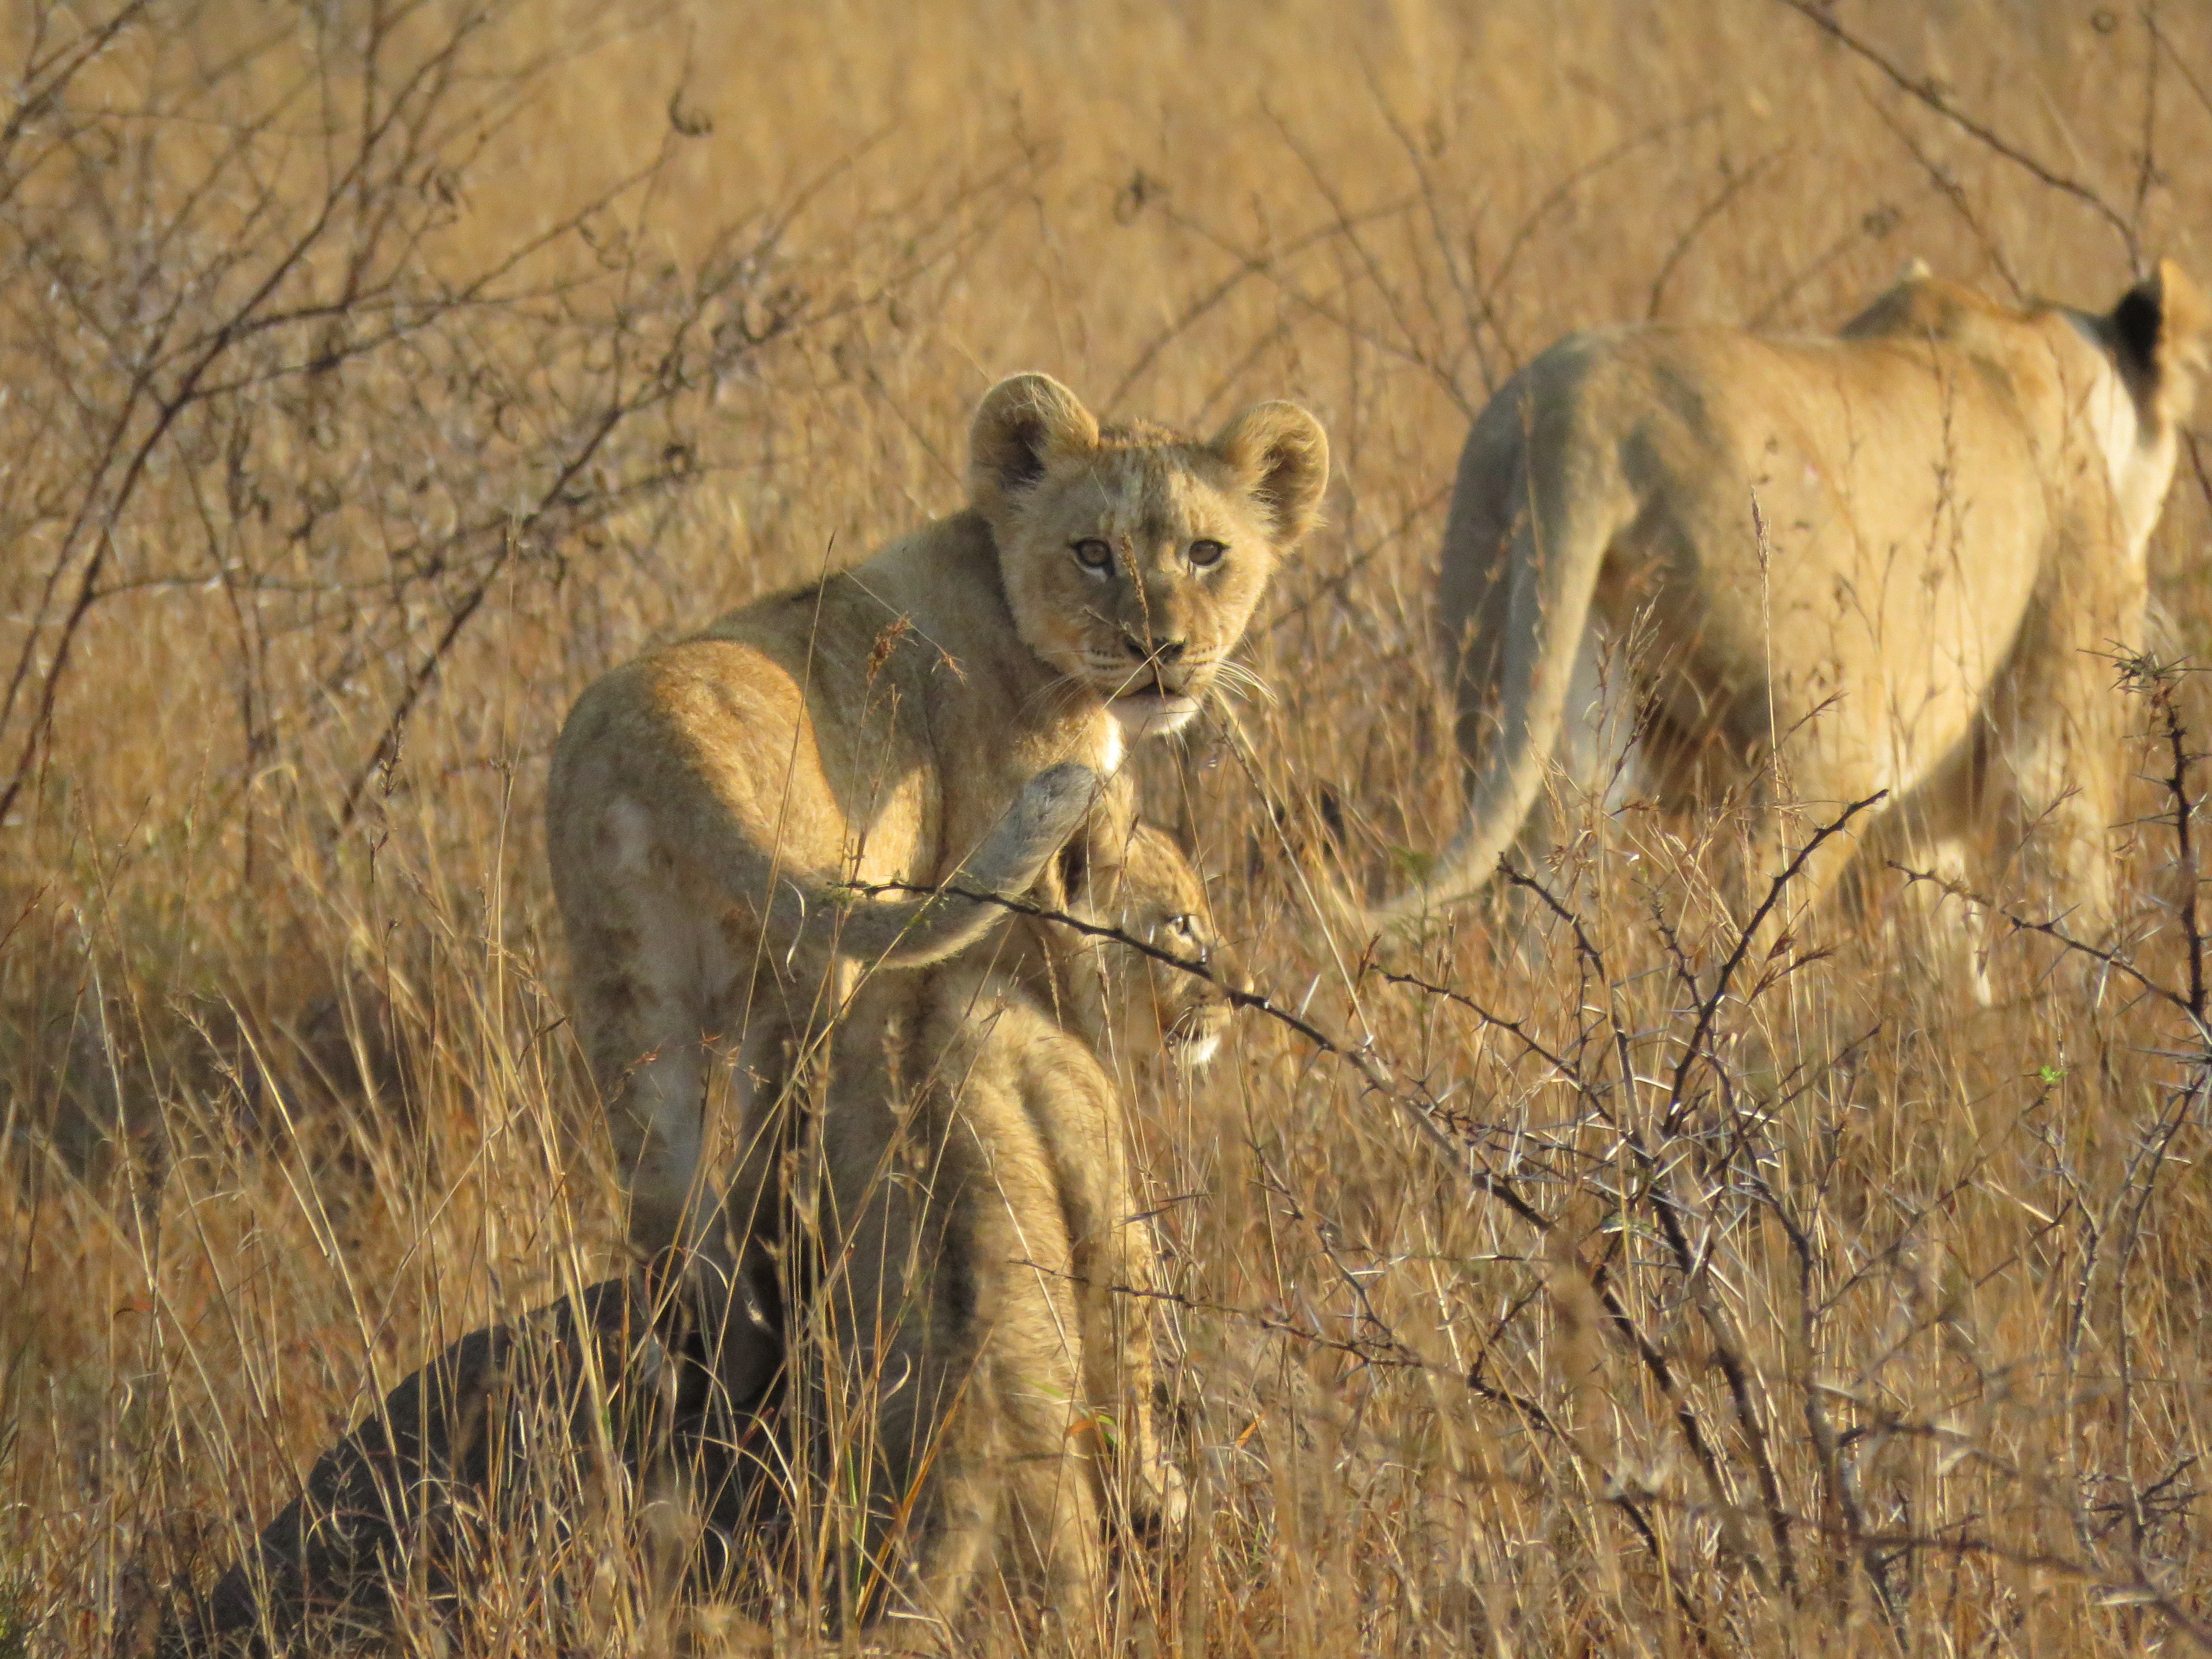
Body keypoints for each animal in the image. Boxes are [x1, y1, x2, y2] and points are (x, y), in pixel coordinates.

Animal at [547, 371, 1326, 1274]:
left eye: (1207, 553)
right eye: (1092, 553)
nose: (1156, 648)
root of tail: (662, 735)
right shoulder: (1015, 863)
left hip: (629, 1005)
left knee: (668, 1212)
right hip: (803, 987)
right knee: (775, 1187)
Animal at [1376, 261, 2206, 964]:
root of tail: (1577, 420)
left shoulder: (1925, 812)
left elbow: (1941, 943)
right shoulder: (2054, 732)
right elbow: (2077, 909)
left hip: (1534, 708)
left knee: (1544, 907)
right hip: (1823, 744)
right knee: (1743, 934)